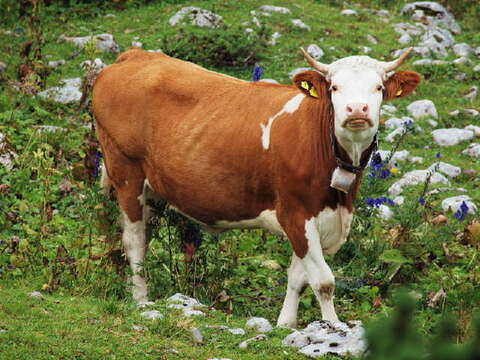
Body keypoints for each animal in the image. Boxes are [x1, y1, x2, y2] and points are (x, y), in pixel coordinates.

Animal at [93, 46, 420, 328]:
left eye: (378, 88)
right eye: (334, 88)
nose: (356, 110)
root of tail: (135, 55)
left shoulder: (315, 216)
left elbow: (298, 277)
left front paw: (285, 324)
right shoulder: (295, 211)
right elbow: (323, 281)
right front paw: (332, 326)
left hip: (154, 190)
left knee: (144, 237)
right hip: (126, 171)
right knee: (134, 242)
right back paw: (141, 300)